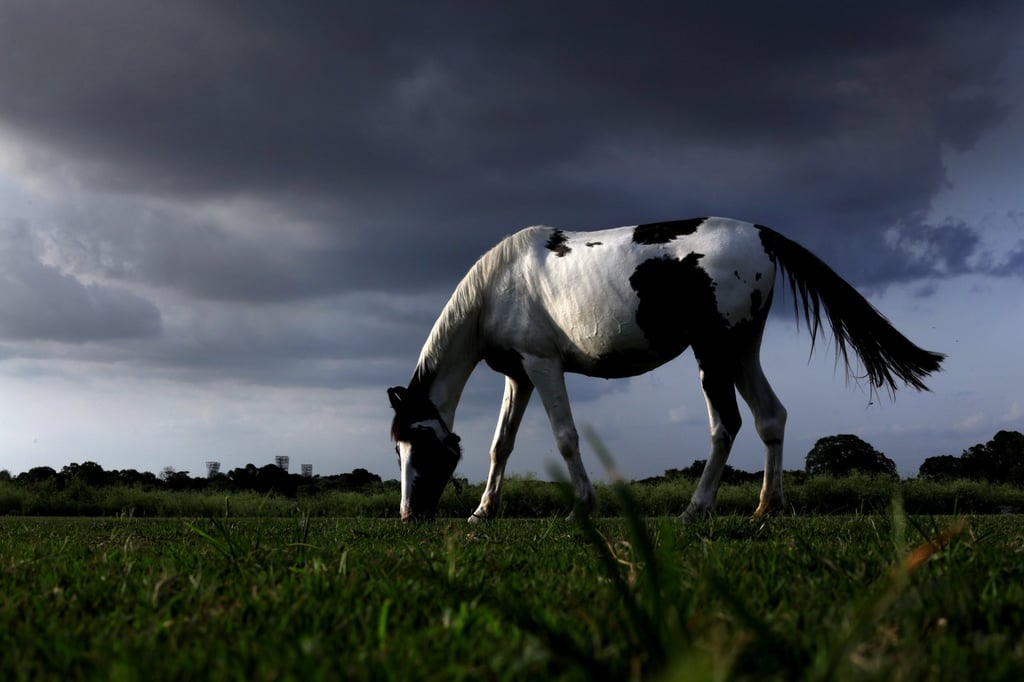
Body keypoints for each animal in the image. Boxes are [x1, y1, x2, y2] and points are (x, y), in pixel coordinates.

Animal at [388, 216, 944, 522]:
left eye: (421, 444)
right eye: (398, 449)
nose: (409, 515)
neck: (499, 287)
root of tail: (762, 234)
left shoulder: (543, 367)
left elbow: (566, 437)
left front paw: (583, 506)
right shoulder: (519, 375)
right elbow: (500, 444)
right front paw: (483, 511)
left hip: (713, 354)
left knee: (727, 425)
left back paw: (696, 509)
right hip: (741, 350)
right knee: (770, 418)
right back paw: (767, 506)